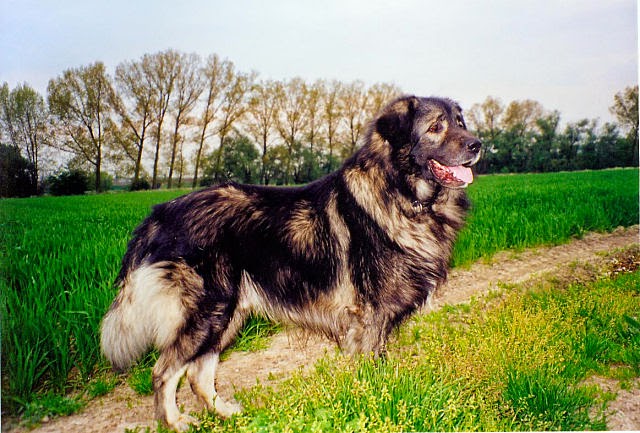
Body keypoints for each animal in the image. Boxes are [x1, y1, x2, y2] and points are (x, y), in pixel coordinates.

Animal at [100, 94, 480, 428]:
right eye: (436, 127)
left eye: (460, 123)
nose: (477, 145)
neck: (403, 195)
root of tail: (159, 215)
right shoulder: (370, 316)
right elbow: (373, 368)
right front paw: (379, 399)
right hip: (206, 312)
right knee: (164, 371)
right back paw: (175, 422)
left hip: (226, 315)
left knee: (198, 372)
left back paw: (223, 412)